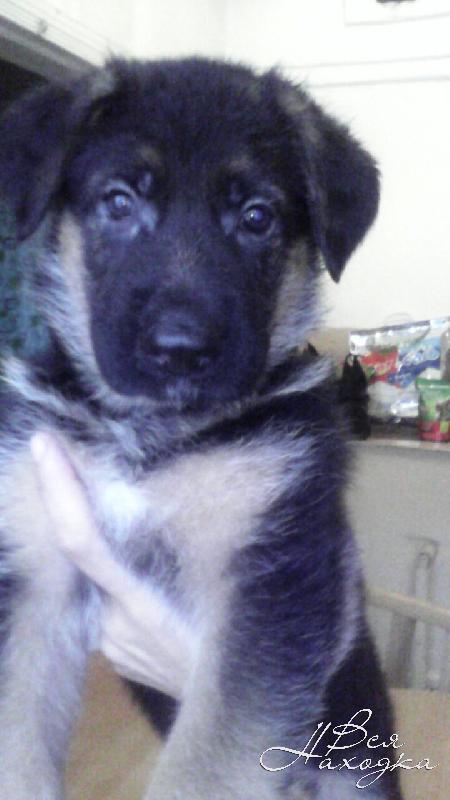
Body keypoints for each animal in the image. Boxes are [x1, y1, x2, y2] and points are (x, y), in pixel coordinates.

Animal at [0, 58, 402, 800]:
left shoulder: (268, 579)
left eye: (257, 218)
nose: (180, 349)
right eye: (118, 202)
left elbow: (208, 766)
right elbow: (16, 748)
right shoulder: (34, 572)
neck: (150, 435)